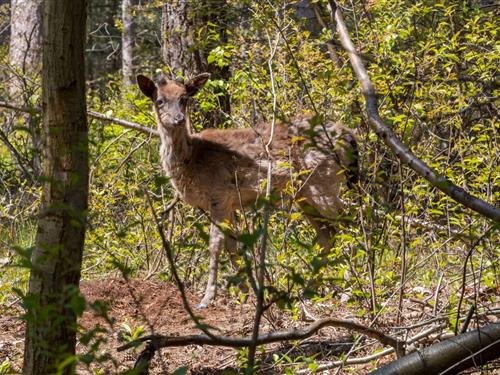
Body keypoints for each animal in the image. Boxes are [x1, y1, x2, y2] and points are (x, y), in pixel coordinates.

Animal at [135, 71, 358, 308]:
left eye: (184, 98)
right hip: (304, 194)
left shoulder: (219, 194)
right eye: (159, 101)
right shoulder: (228, 203)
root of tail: (349, 135)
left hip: (324, 181)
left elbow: (215, 245)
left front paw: (207, 297)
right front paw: (243, 293)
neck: (193, 160)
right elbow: (232, 246)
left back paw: (349, 291)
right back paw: (310, 290)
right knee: (328, 235)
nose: (178, 119)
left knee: (350, 223)